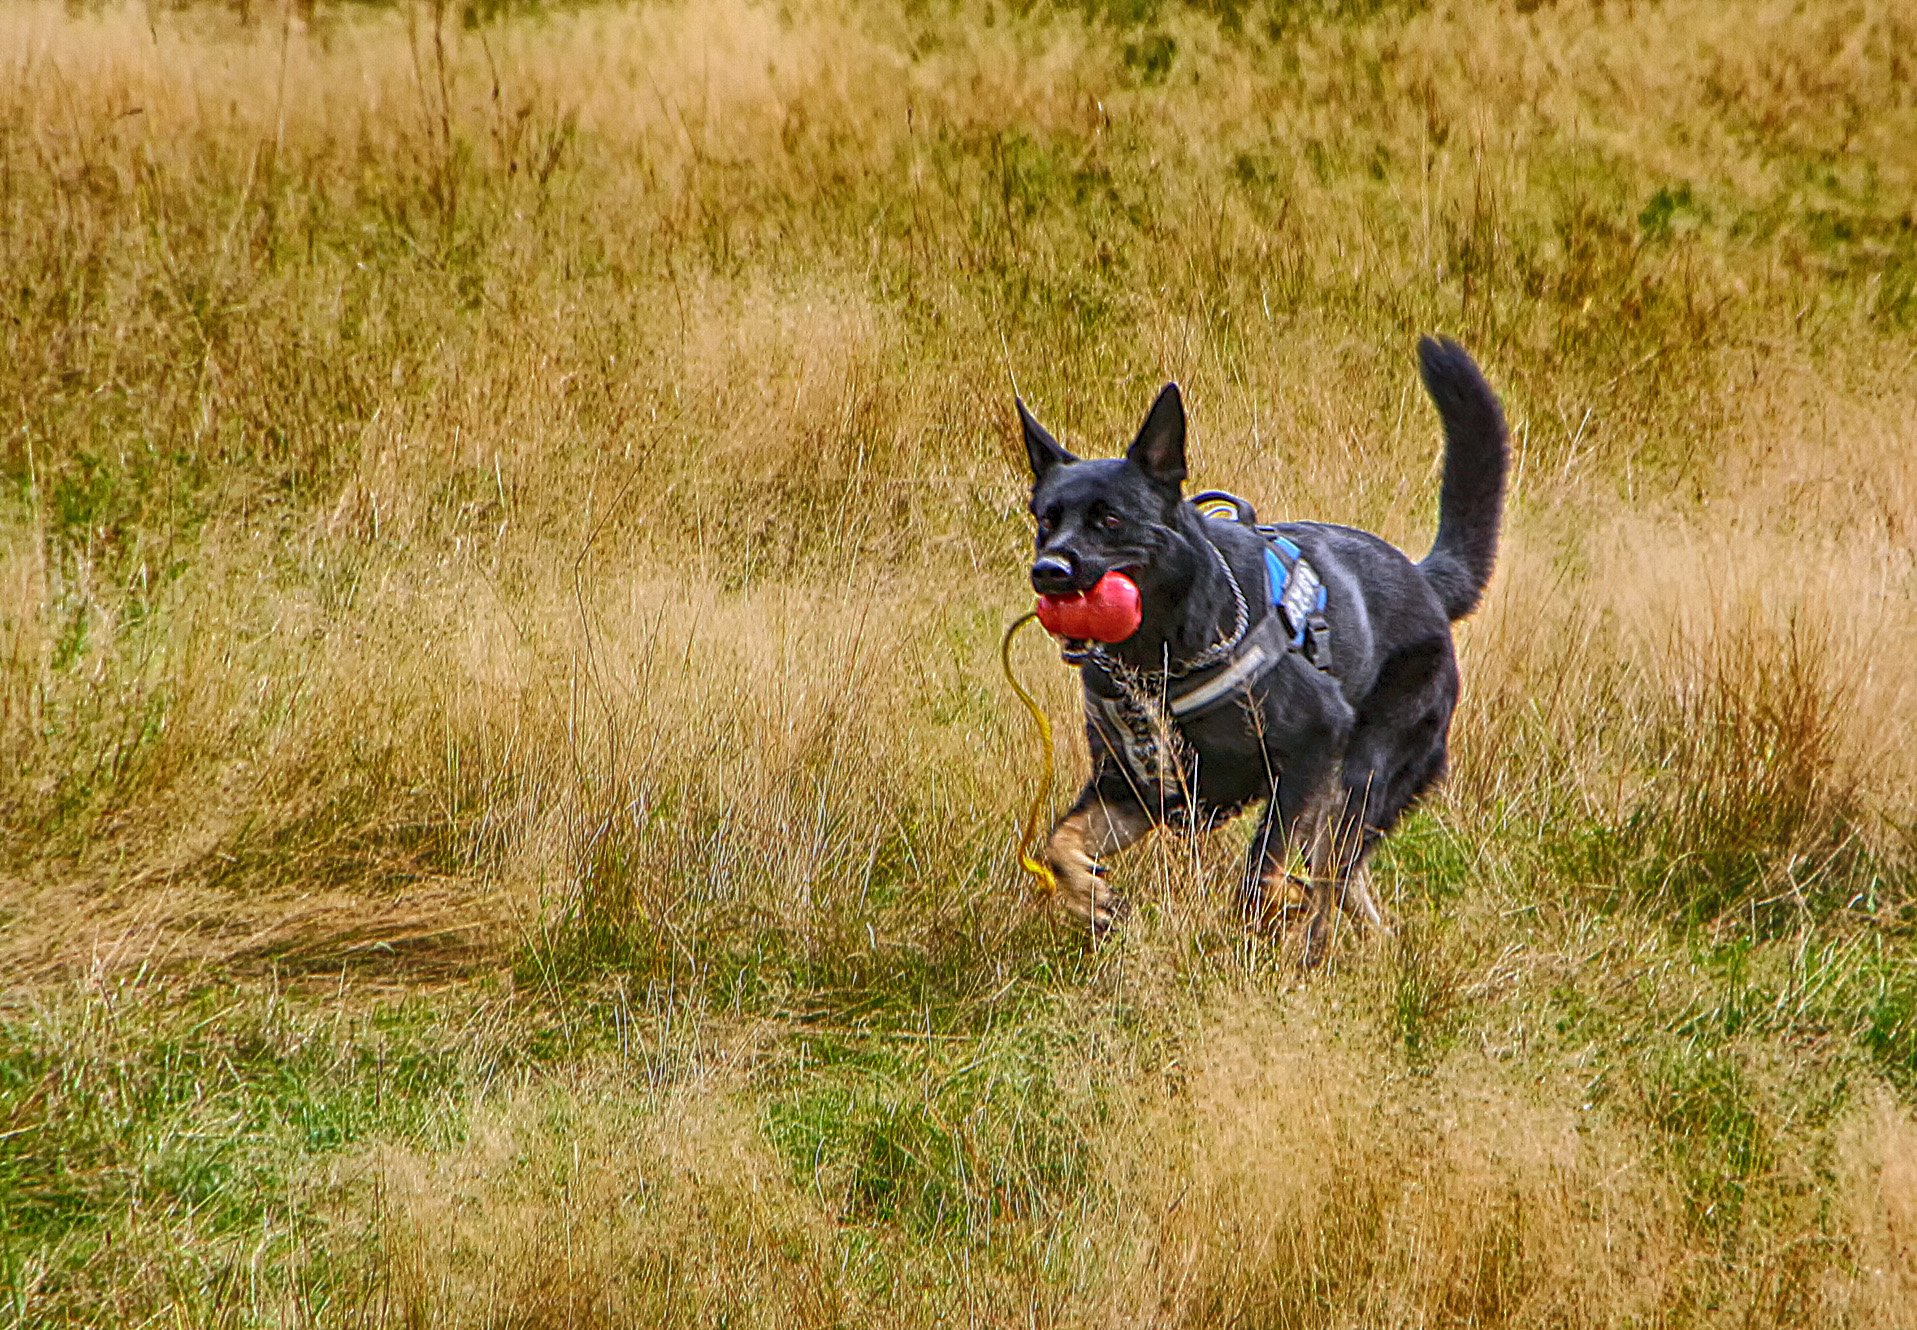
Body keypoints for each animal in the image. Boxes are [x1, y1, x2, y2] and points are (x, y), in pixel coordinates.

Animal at [1027, 331, 1502, 958]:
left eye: (1109, 519)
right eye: (1044, 520)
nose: (1048, 573)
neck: (1165, 657)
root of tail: (1425, 582)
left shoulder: (1310, 749)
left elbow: (1261, 868)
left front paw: (1276, 903)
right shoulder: (1135, 789)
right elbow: (1059, 841)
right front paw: (1091, 898)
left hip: (1361, 778)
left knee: (1332, 873)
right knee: (1347, 884)